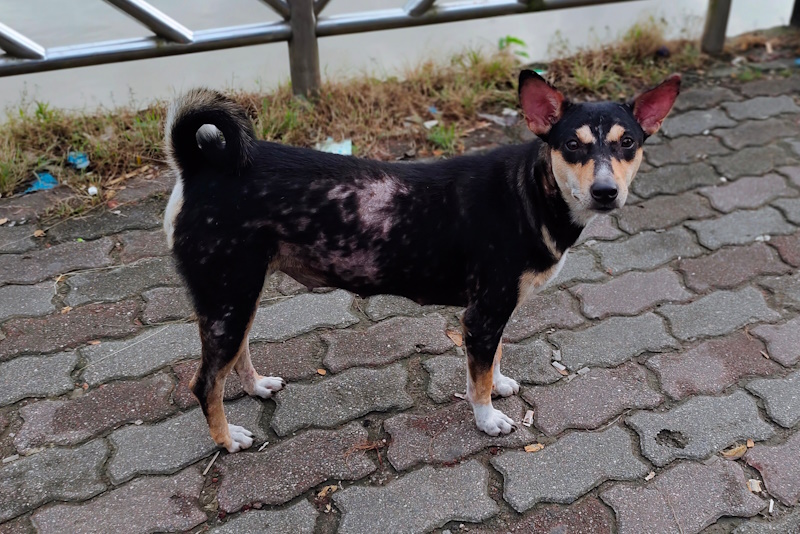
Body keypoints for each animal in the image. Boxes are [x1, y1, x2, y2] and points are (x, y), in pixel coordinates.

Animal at [164, 70, 680, 452]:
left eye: (628, 143)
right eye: (572, 145)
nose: (606, 192)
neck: (530, 192)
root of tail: (201, 166)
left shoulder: (494, 314)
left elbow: (492, 360)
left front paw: (499, 382)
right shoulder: (483, 313)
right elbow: (476, 381)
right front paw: (487, 417)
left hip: (238, 296)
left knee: (237, 358)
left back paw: (255, 387)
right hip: (227, 298)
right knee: (204, 382)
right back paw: (227, 439)